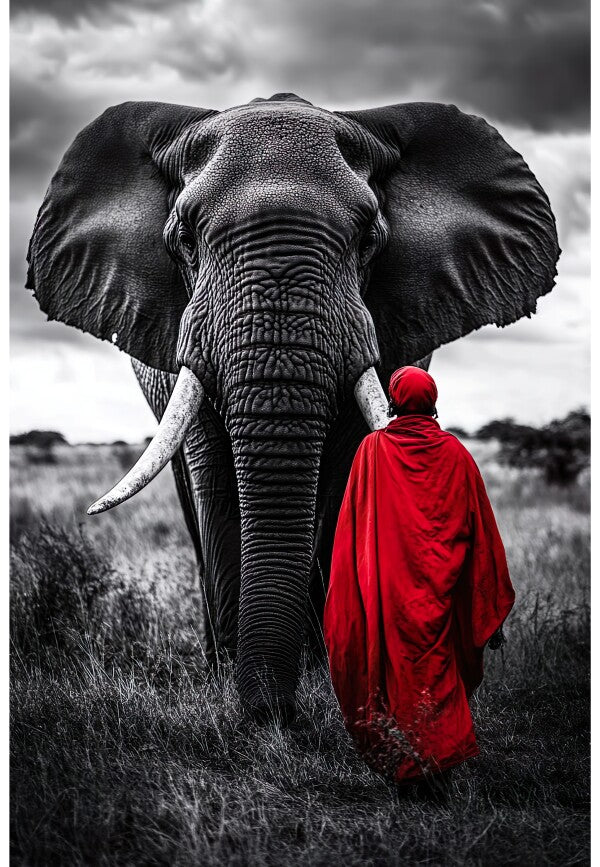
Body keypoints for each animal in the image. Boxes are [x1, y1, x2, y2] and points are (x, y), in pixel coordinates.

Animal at [26, 92, 559, 723]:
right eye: (185, 239)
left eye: (369, 238)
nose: (272, 712)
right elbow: (216, 481)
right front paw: (236, 681)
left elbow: (339, 477)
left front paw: (323, 672)